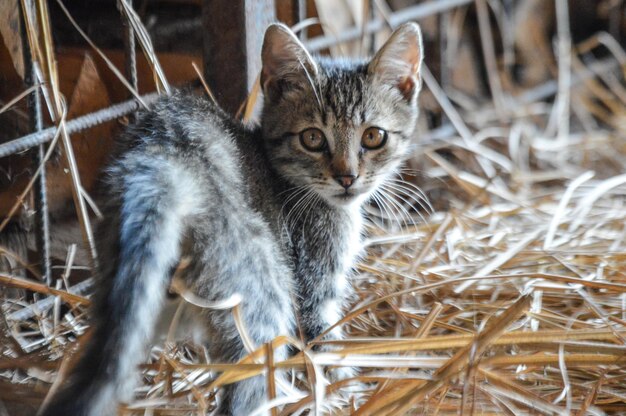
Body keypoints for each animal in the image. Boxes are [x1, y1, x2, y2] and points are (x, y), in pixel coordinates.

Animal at [40, 23, 424, 416]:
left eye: (373, 136)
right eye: (313, 138)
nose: (347, 177)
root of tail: (168, 155)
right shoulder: (313, 290)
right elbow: (326, 352)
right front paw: (350, 394)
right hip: (263, 298)